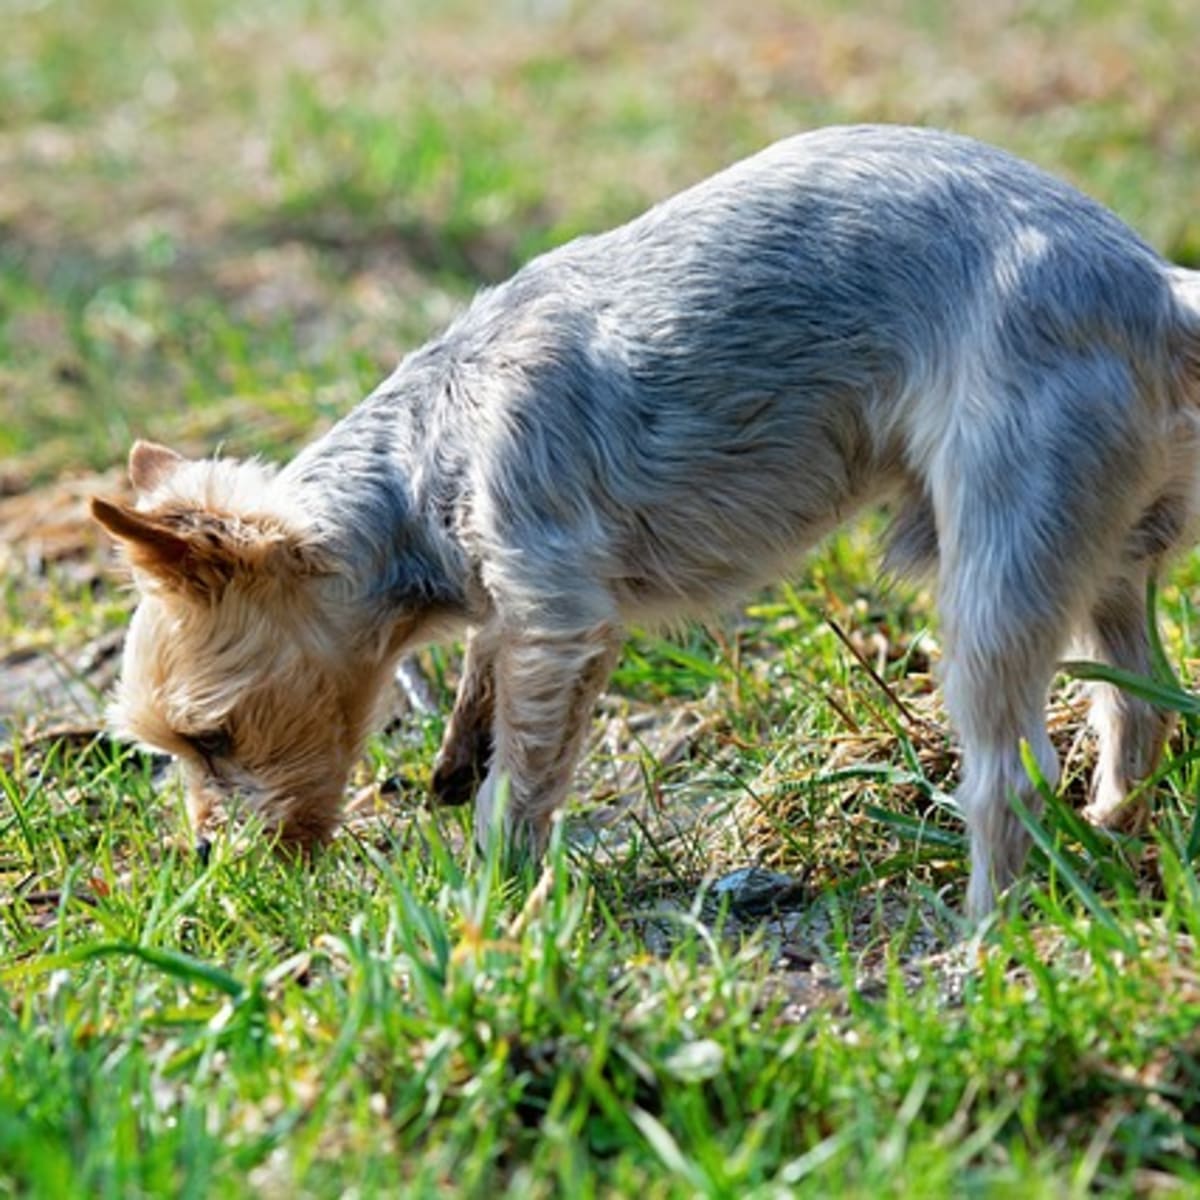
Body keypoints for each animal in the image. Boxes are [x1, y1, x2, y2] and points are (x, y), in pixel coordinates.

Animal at [91, 126, 1200, 912]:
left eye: (212, 737)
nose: (206, 854)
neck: (424, 462)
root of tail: (1159, 290)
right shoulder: (512, 606)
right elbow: (485, 683)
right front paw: (455, 756)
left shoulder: (557, 606)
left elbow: (524, 776)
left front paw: (492, 895)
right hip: (1104, 547)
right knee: (1137, 699)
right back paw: (1112, 829)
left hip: (1002, 533)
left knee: (1010, 769)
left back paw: (984, 932)